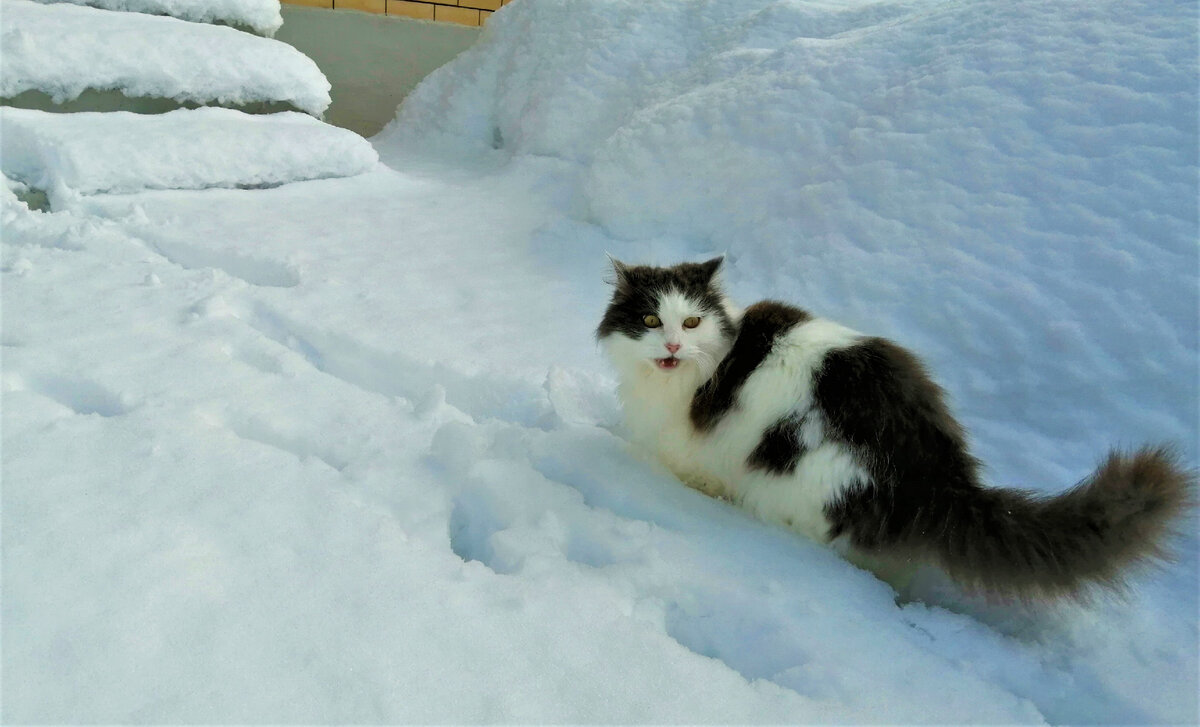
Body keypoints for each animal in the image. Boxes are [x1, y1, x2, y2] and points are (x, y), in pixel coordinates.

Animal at [595, 259, 1195, 602]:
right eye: (651, 321)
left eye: (691, 321)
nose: (673, 345)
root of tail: (942, 480)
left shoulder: (690, 448)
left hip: (798, 489)